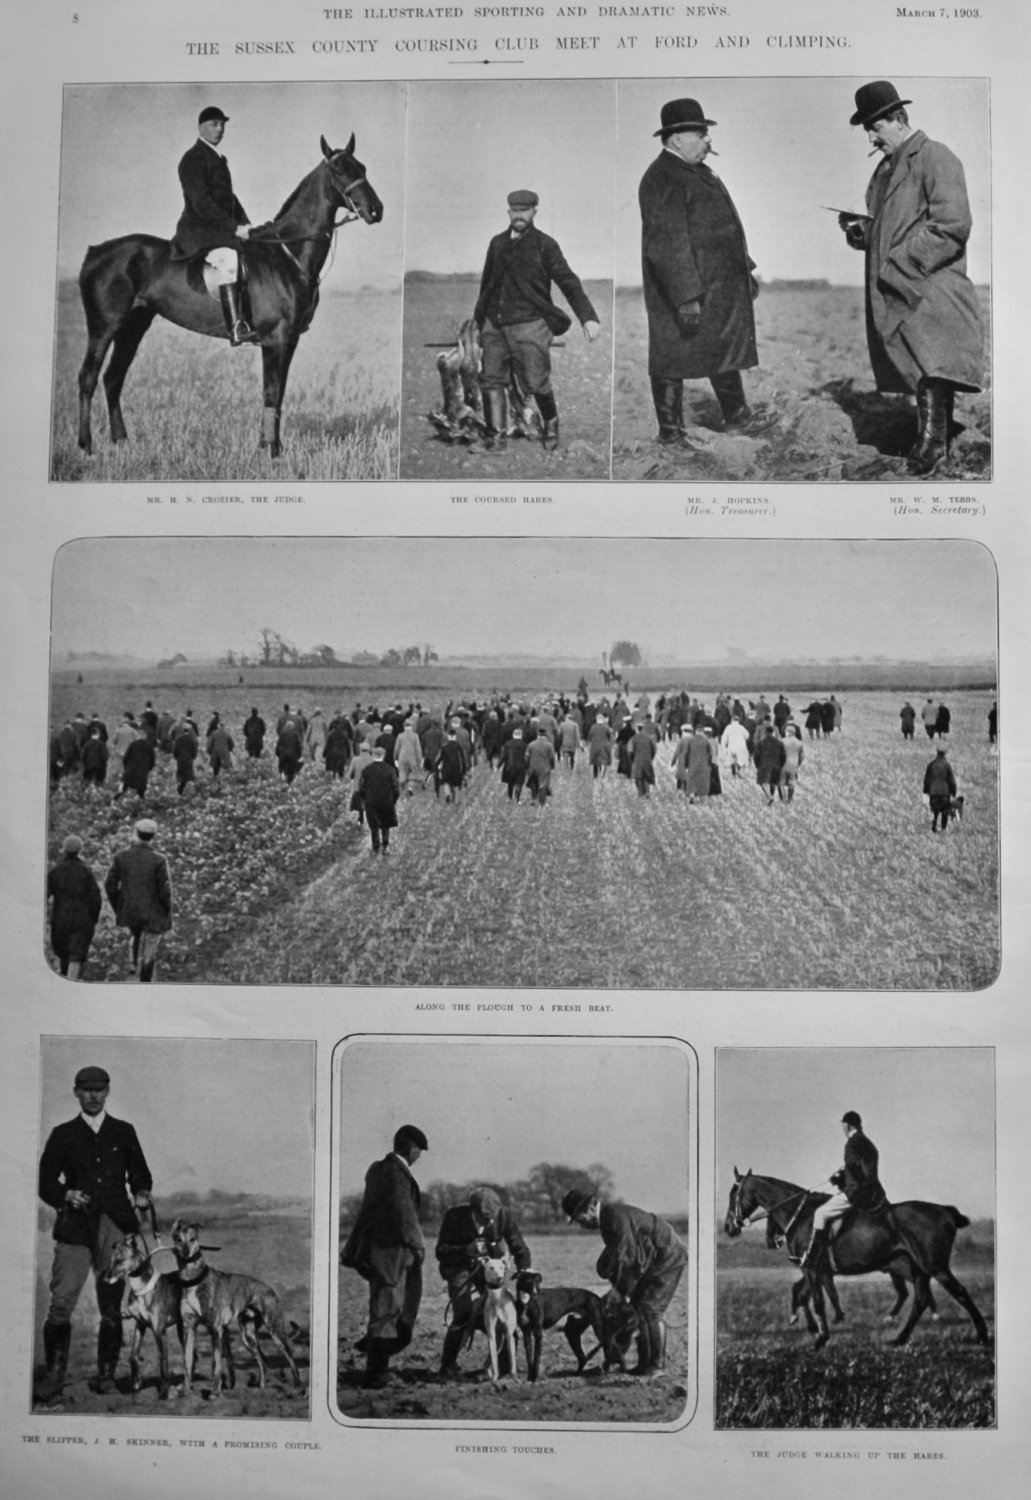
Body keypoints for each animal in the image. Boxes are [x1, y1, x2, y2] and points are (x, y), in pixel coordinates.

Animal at [77, 137, 382, 459]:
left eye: (362, 167)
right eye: (339, 169)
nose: (376, 210)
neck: (287, 253)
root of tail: (96, 251)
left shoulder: (290, 340)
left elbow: (278, 393)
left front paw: (268, 445)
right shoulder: (275, 338)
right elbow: (271, 391)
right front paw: (272, 450)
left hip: (134, 326)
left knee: (113, 377)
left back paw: (121, 441)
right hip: (104, 326)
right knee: (88, 377)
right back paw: (86, 445)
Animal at [104, 1236, 183, 1398]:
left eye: (120, 1260)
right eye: (110, 1260)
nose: (104, 1279)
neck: (143, 1289)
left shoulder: (159, 1331)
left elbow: (163, 1360)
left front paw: (164, 1392)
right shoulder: (140, 1324)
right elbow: (133, 1356)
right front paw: (136, 1380)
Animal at [171, 1218, 300, 1392]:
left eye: (193, 1239)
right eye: (178, 1239)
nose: (186, 1253)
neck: (193, 1280)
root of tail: (271, 1290)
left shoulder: (216, 1329)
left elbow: (217, 1365)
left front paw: (214, 1392)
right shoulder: (189, 1328)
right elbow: (187, 1361)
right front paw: (186, 1391)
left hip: (275, 1331)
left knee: (291, 1360)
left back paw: (298, 1387)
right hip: (248, 1337)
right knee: (263, 1361)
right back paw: (262, 1388)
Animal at [723, 1164, 990, 1356]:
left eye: (733, 1193)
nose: (729, 1227)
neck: (803, 1216)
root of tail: (945, 1210)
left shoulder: (812, 1269)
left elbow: (817, 1301)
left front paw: (820, 1338)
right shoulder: (818, 1271)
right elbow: (809, 1295)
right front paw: (817, 1328)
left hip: (933, 1266)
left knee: (958, 1292)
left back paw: (982, 1335)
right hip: (919, 1269)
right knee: (920, 1299)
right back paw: (899, 1338)